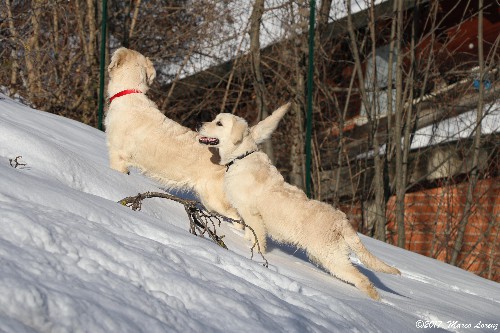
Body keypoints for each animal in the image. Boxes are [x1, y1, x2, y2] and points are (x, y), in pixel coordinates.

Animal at [197, 105, 400, 298]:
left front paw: (253, 252)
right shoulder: (245, 213)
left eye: (219, 123)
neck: (241, 157)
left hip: (328, 254)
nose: (199, 124)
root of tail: (342, 220)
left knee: (361, 278)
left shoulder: (252, 214)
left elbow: (257, 239)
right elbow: (248, 232)